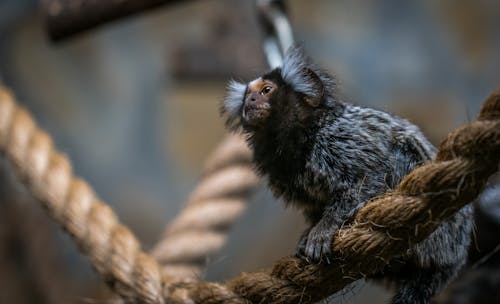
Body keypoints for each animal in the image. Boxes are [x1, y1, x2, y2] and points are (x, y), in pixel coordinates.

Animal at [221, 46, 470, 302]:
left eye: (266, 90)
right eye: (247, 96)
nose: (250, 101)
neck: (303, 134)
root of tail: (453, 260)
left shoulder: (338, 139)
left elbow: (370, 178)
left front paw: (325, 228)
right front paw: (309, 232)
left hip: (438, 236)